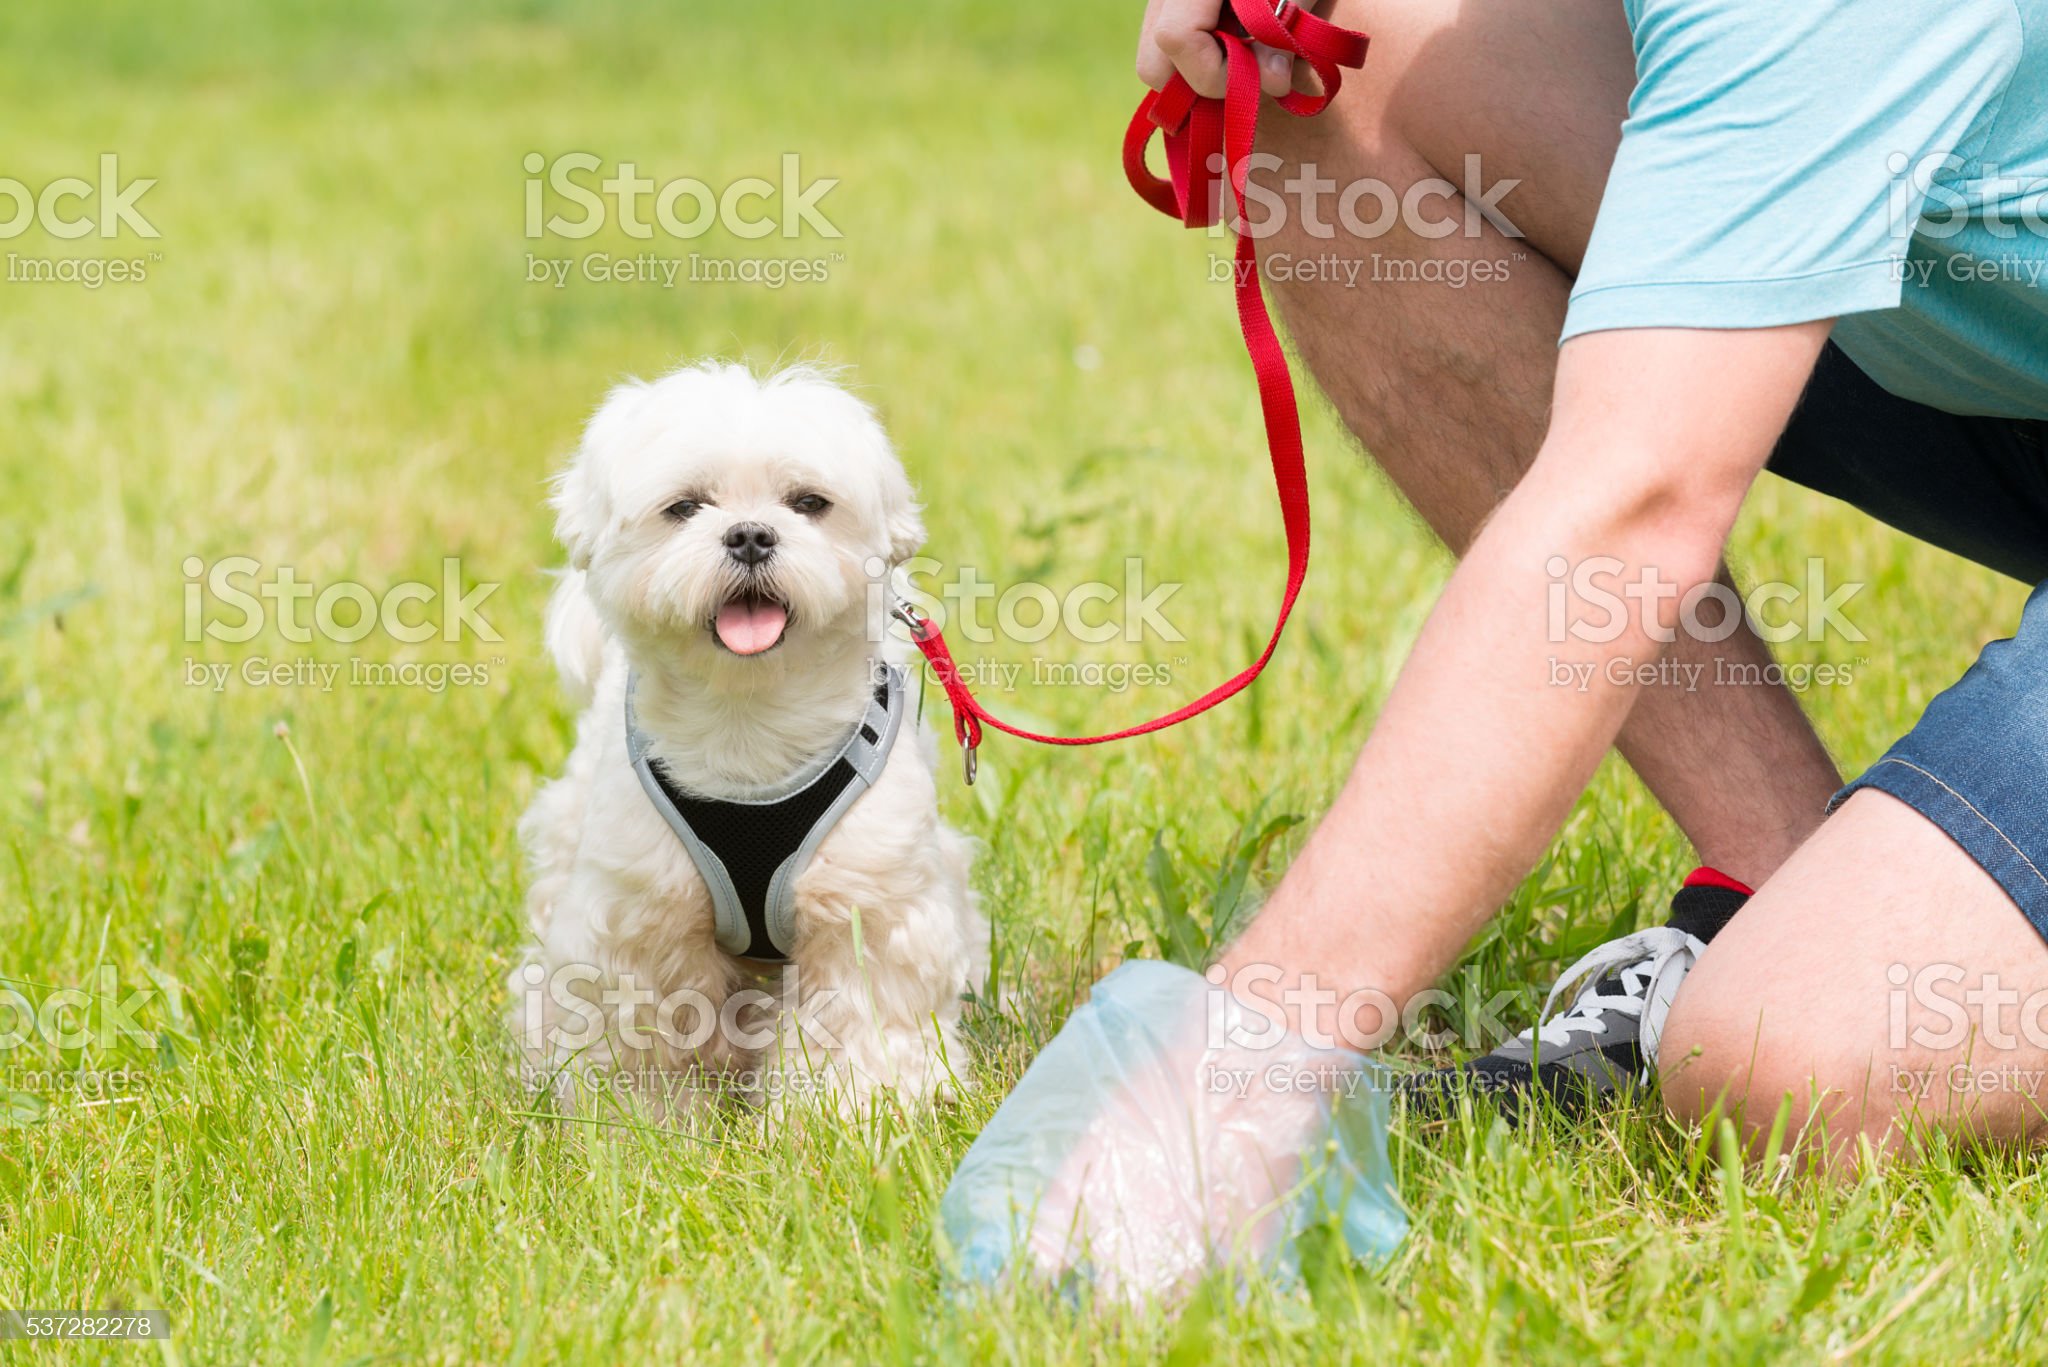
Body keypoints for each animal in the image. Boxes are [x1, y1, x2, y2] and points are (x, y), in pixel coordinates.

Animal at [516, 362, 987, 1123]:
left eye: (809, 503)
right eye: (685, 507)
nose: (749, 535)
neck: (749, 724)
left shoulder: (868, 903)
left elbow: (856, 1019)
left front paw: (848, 1114)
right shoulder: (640, 918)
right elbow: (645, 1031)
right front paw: (646, 1123)